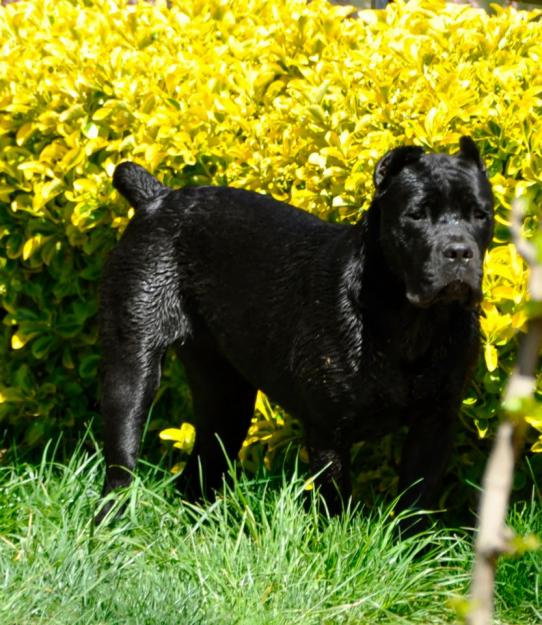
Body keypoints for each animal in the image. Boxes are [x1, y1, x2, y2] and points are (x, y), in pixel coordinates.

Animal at [95, 136, 496, 520]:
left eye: (481, 215)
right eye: (416, 215)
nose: (459, 251)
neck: (414, 321)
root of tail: (158, 198)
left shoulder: (435, 424)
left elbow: (416, 503)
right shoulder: (329, 432)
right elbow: (335, 504)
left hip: (226, 395)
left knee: (202, 469)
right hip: (132, 369)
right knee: (121, 467)